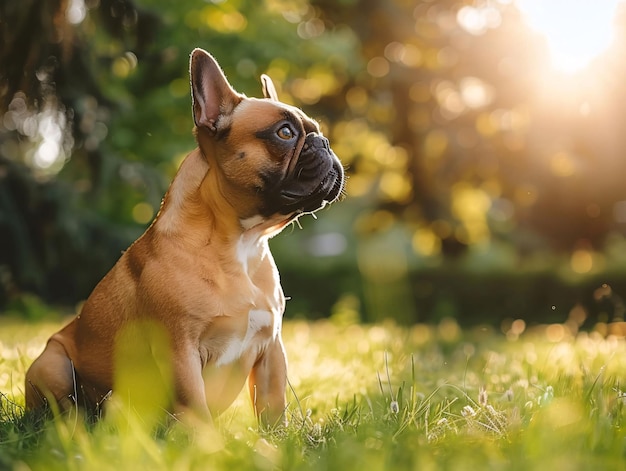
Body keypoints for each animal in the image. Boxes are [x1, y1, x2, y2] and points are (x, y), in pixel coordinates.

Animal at [24, 48, 344, 428]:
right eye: (284, 132)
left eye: (316, 131)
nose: (324, 142)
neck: (242, 243)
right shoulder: (181, 350)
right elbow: (195, 406)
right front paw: (207, 442)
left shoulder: (271, 348)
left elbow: (272, 404)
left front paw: (278, 438)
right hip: (51, 363)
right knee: (65, 410)